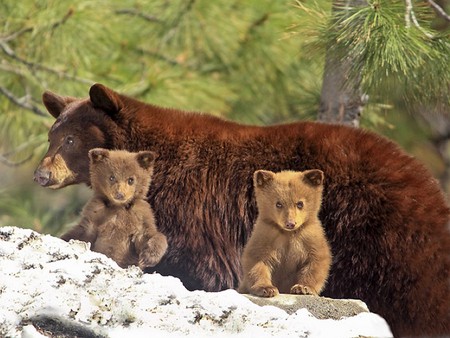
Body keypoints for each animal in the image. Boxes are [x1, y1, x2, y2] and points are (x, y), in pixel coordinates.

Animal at [239, 170, 330, 298]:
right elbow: (256, 260)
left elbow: (316, 260)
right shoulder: (264, 235)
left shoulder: (310, 237)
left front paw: (303, 288)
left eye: (300, 203)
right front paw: (267, 289)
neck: (288, 234)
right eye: (278, 204)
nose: (290, 223)